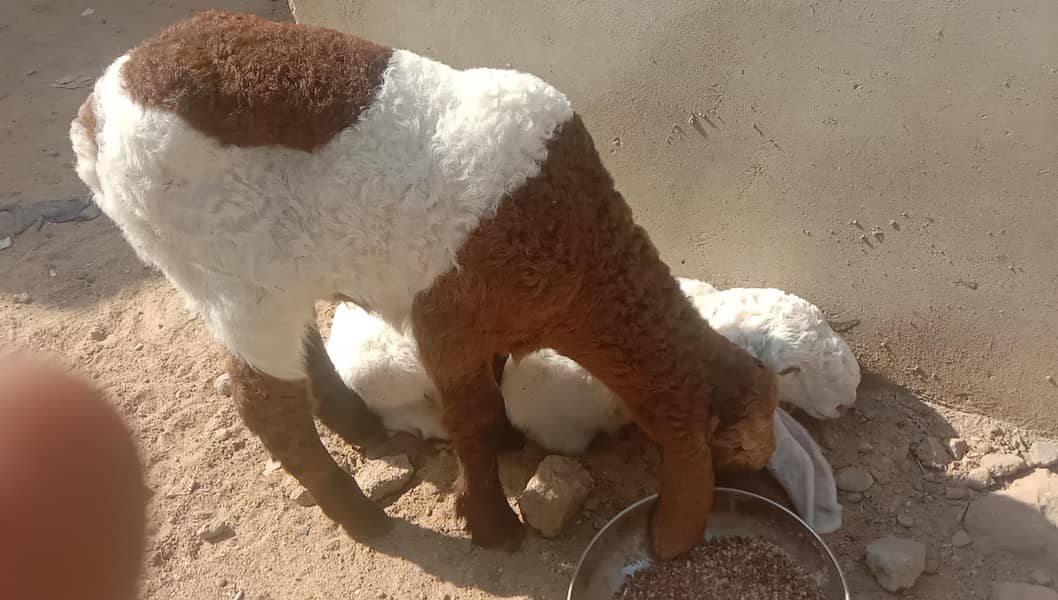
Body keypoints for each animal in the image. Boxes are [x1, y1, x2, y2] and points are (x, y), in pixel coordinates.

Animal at [69, 10, 777, 558]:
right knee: (266, 403)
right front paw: (492, 525)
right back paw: (362, 517)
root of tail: (95, 117)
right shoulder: (449, 319)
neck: (581, 257)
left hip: (270, 271)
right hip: (228, 277)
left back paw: (360, 426)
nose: (765, 469)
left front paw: (507, 448)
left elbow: (490, 393)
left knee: (304, 347)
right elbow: (471, 416)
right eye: (736, 443)